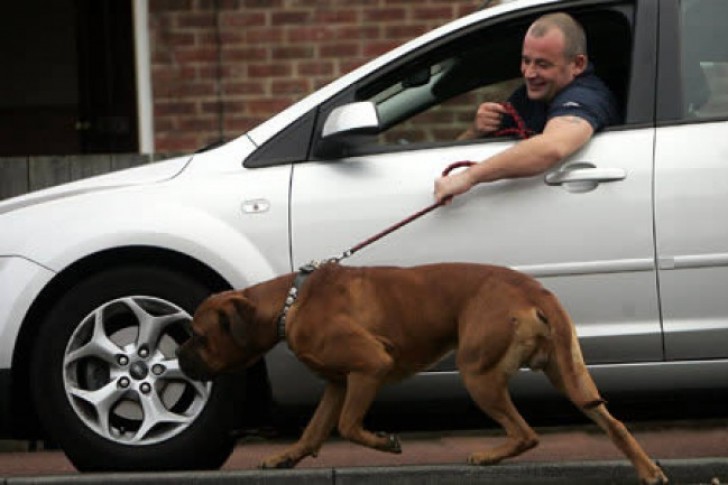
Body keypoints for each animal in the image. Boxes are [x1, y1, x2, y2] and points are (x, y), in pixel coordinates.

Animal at [175, 262, 664, 482]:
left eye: (198, 336)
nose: (178, 355)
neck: (289, 303)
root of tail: (534, 290)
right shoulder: (338, 383)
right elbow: (314, 432)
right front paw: (286, 457)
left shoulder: (370, 366)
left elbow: (348, 426)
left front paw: (384, 443)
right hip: (570, 376)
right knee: (613, 423)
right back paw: (647, 470)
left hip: (478, 374)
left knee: (526, 433)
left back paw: (487, 456)